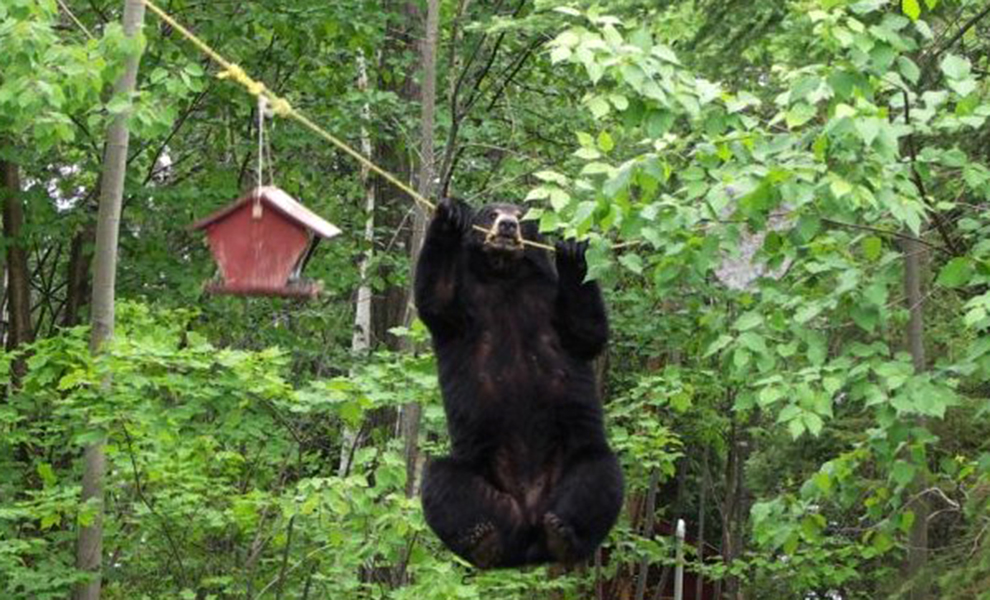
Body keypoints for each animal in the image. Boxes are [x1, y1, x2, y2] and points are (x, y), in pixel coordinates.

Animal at [414, 197, 624, 568]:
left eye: (523, 216)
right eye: (492, 214)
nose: (508, 226)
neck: (504, 274)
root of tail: (529, 537)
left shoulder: (548, 295)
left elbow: (587, 331)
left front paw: (572, 249)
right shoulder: (464, 302)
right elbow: (436, 298)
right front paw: (452, 214)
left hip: (574, 462)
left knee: (600, 475)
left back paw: (563, 535)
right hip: (478, 476)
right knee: (441, 481)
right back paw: (483, 541)